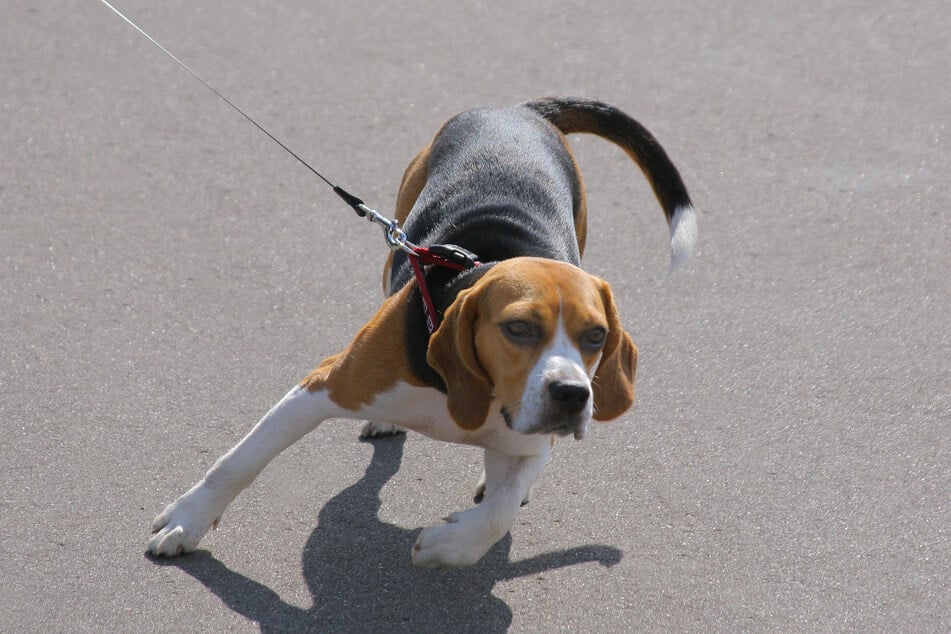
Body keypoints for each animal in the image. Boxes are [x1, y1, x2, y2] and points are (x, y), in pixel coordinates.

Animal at [151, 96, 700, 564]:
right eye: (518, 327)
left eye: (596, 336)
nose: (572, 394)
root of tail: (517, 110)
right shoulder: (322, 384)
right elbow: (238, 462)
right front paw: (188, 520)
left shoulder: (531, 445)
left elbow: (499, 512)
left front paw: (449, 544)